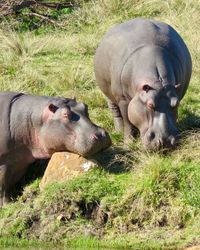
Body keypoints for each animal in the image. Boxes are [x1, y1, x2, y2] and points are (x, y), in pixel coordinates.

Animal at [94, 18, 191, 150]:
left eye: (176, 104)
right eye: (150, 105)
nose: (165, 141)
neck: (158, 83)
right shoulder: (123, 99)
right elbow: (127, 121)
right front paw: (128, 143)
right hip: (108, 93)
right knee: (115, 112)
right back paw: (119, 131)